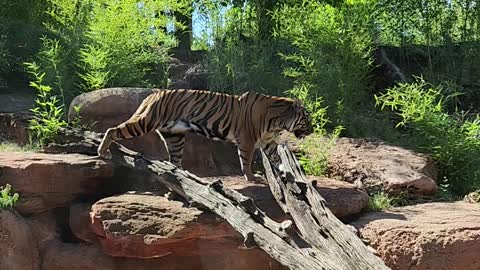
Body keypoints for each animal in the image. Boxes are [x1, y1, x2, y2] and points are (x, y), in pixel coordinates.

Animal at [97, 89, 316, 181]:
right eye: (307, 118)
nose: (313, 130)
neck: (277, 121)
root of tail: (152, 94)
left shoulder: (268, 141)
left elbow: (276, 156)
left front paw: (285, 170)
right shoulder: (247, 140)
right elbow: (245, 160)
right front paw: (252, 177)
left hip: (175, 136)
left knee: (174, 160)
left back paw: (183, 175)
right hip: (145, 122)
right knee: (112, 130)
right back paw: (102, 151)